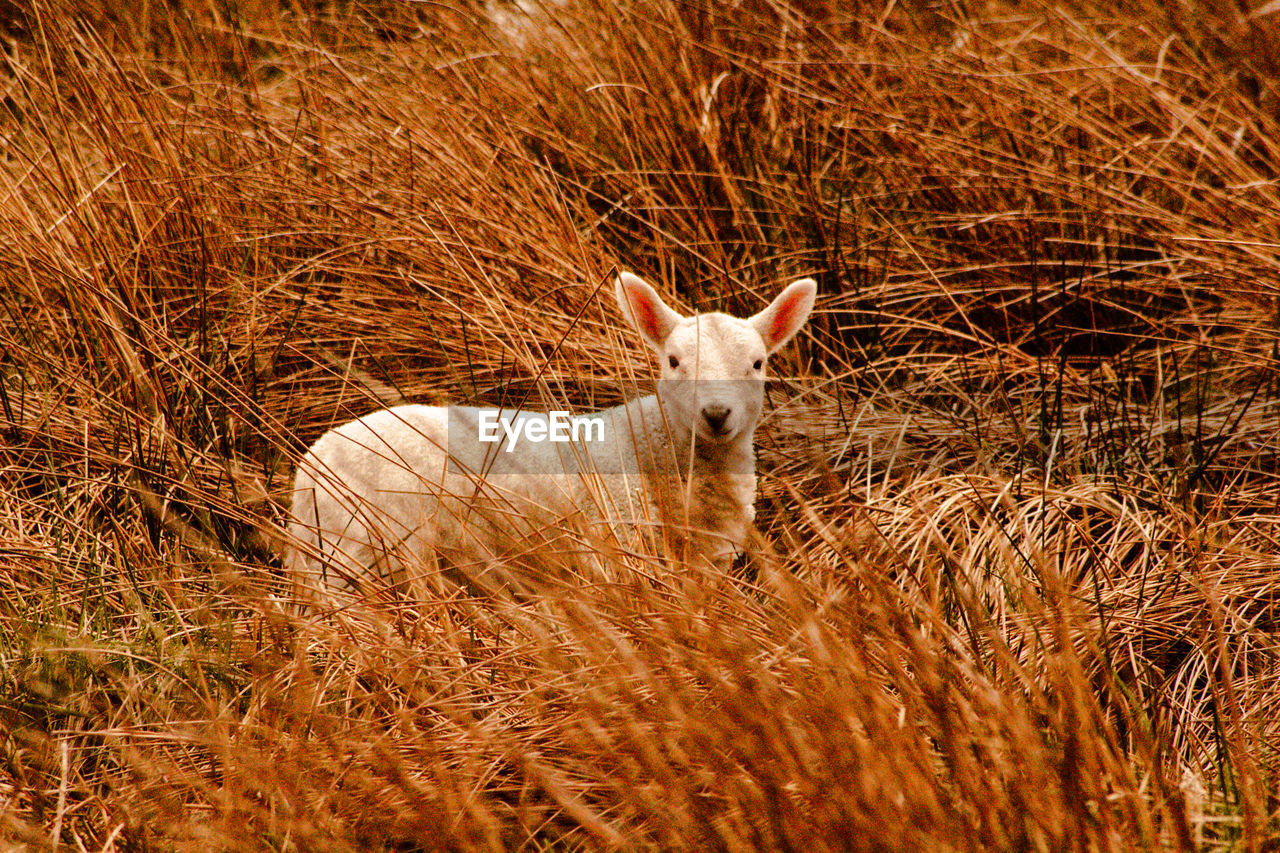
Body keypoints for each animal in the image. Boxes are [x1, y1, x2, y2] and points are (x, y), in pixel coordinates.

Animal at [285, 268, 814, 601]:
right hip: (359, 549)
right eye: (674, 361)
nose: (717, 413)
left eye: (758, 364)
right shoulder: (616, 542)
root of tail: (310, 467)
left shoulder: (707, 559)